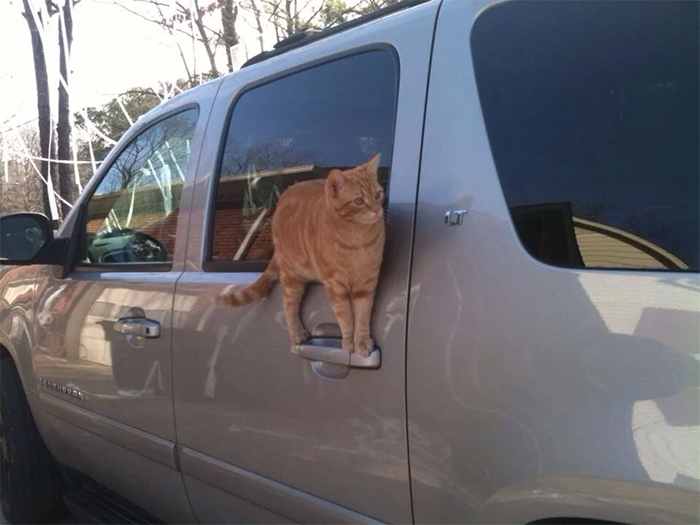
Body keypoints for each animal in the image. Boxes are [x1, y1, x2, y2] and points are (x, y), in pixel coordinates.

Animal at [217, 152, 386, 356]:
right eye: (359, 201)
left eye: (378, 195)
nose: (376, 210)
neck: (357, 238)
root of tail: (285, 194)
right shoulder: (335, 285)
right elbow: (345, 316)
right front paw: (348, 341)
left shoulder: (367, 283)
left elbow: (362, 315)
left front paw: (361, 341)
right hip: (292, 278)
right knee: (289, 305)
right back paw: (297, 333)